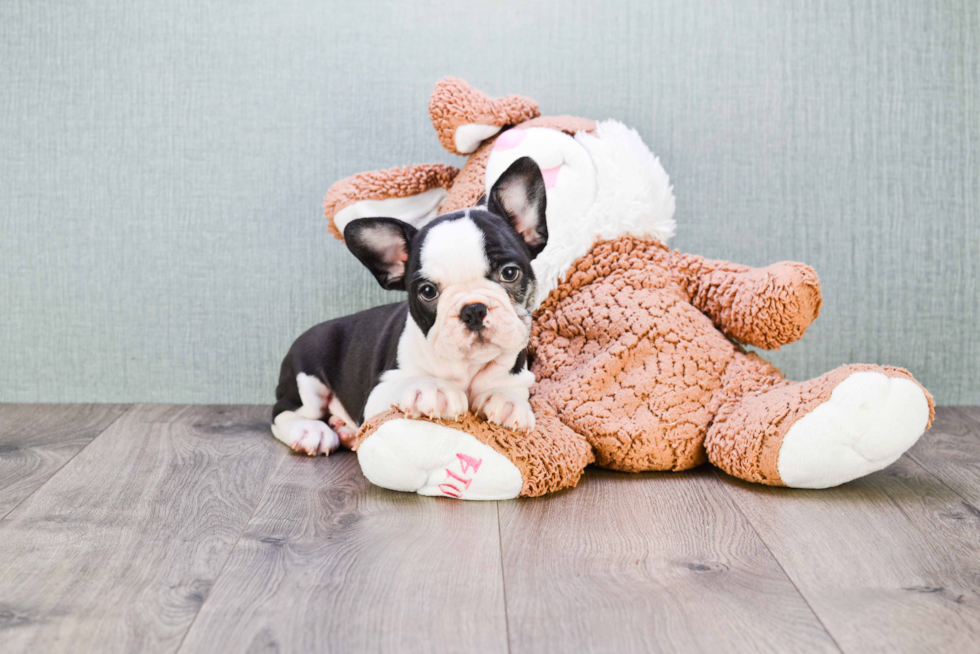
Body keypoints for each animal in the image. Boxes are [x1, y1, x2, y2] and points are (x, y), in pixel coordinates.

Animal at [272, 158, 548, 456]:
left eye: (509, 273)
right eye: (427, 292)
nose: (473, 309)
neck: (467, 368)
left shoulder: (520, 376)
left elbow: (510, 389)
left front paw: (506, 400)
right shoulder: (377, 394)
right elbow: (408, 382)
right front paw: (432, 389)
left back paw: (343, 430)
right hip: (306, 379)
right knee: (283, 412)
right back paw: (312, 431)